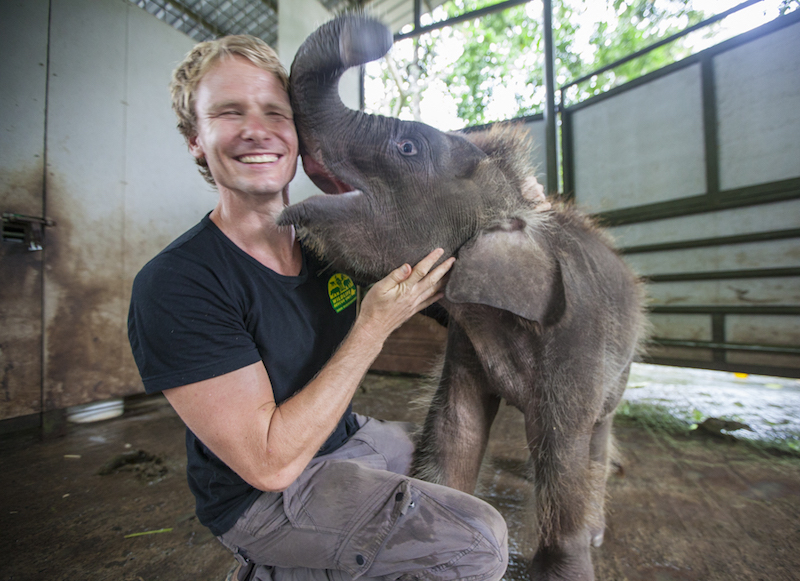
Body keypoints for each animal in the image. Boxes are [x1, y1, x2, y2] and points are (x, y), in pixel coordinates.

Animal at [278, 14, 647, 581]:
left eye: (408, 147)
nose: (378, 34)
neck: (520, 208)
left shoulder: (576, 338)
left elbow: (561, 448)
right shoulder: (467, 338)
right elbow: (457, 429)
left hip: (623, 361)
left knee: (596, 437)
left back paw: (597, 531)